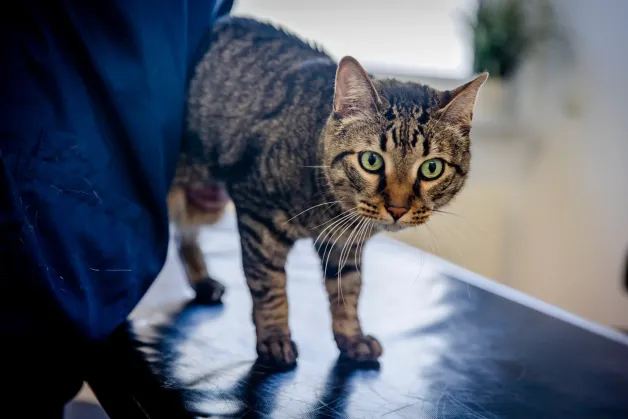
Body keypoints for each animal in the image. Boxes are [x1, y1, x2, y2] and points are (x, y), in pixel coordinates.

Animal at [166, 18, 486, 370]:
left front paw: (352, 338)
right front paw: (275, 338)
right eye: (371, 160)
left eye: (431, 168)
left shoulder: (345, 245)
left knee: (185, 236)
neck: (331, 207)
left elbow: (347, 292)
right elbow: (269, 285)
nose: (398, 208)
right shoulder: (257, 214)